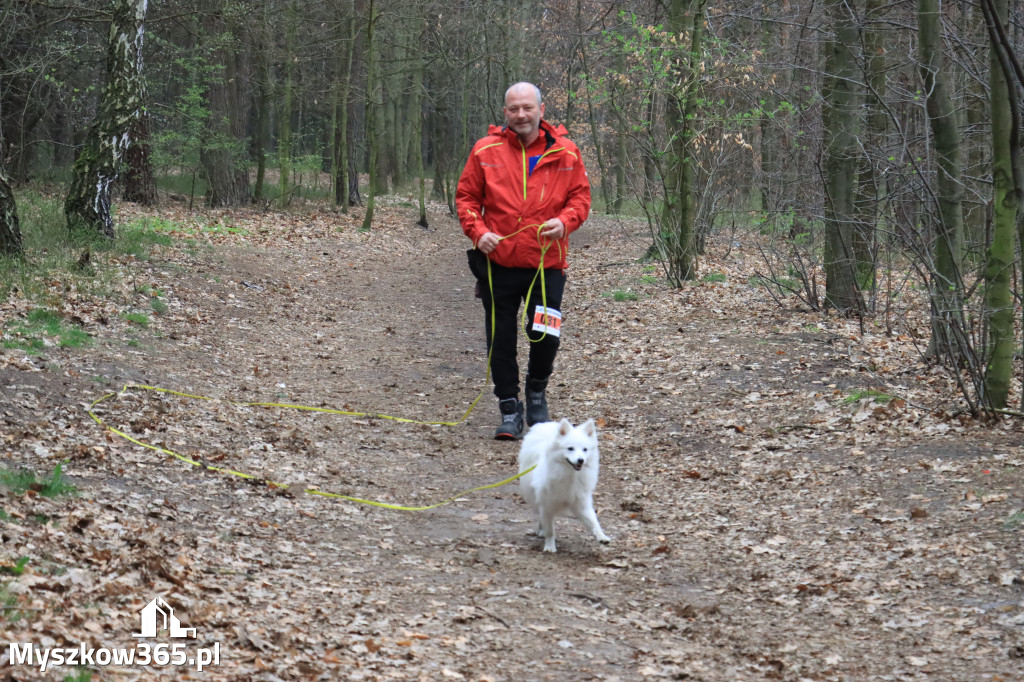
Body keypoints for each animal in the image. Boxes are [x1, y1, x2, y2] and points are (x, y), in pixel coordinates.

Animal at [520, 413, 606, 552]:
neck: (570, 475)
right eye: (570, 448)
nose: (581, 460)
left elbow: (593, 521)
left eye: (585, 449)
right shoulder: (547, 505)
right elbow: (550, 530)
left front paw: (602, 536)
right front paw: (550, 546)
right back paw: (541, 531)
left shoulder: (581, 502)